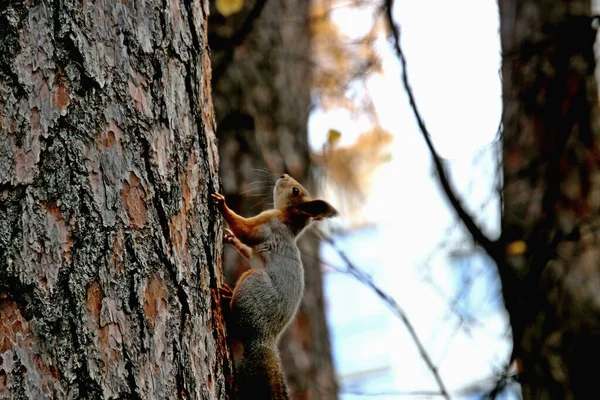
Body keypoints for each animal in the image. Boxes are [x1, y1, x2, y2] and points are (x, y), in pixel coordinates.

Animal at [213, 174, 340, 400]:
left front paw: (223, 205)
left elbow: (246, 230)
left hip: (253, 283)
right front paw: (231, 239)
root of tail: (264, 338)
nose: (283, 175)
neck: (288, 220)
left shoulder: (267, 224)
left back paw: (227, 299)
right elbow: (247, 248)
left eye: (296, 191)